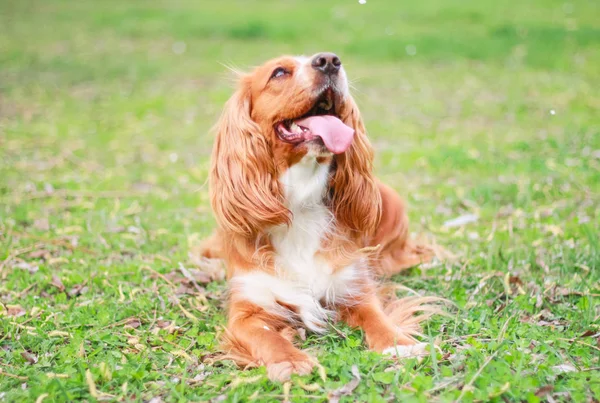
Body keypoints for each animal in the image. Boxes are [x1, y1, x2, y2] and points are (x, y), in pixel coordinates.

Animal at [200, 52, 436, 380]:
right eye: (279, 72)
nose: (329, 61)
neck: (300, 202)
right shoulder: (248, 308)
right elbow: (266, 335)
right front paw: (289, 360)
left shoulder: (354, 286)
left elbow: (377, 317)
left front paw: (399, 344)